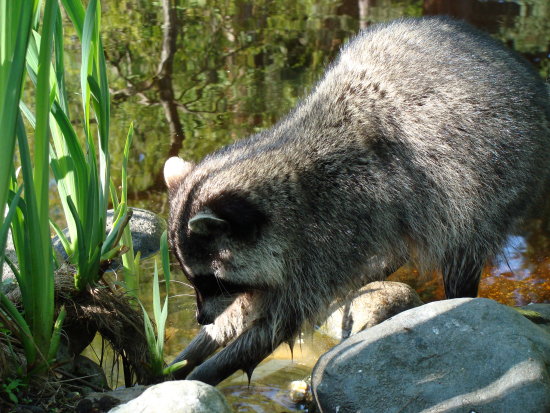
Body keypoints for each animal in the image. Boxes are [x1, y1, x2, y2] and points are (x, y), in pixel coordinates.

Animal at [164, 16, 550, 384]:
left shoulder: (330, 232)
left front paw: (210, 367)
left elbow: (280, 319)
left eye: (212, 281)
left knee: (463, 244)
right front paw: (197, 348)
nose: (200, 318)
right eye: (194, 279)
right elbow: (248, 307)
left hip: (500, 173)